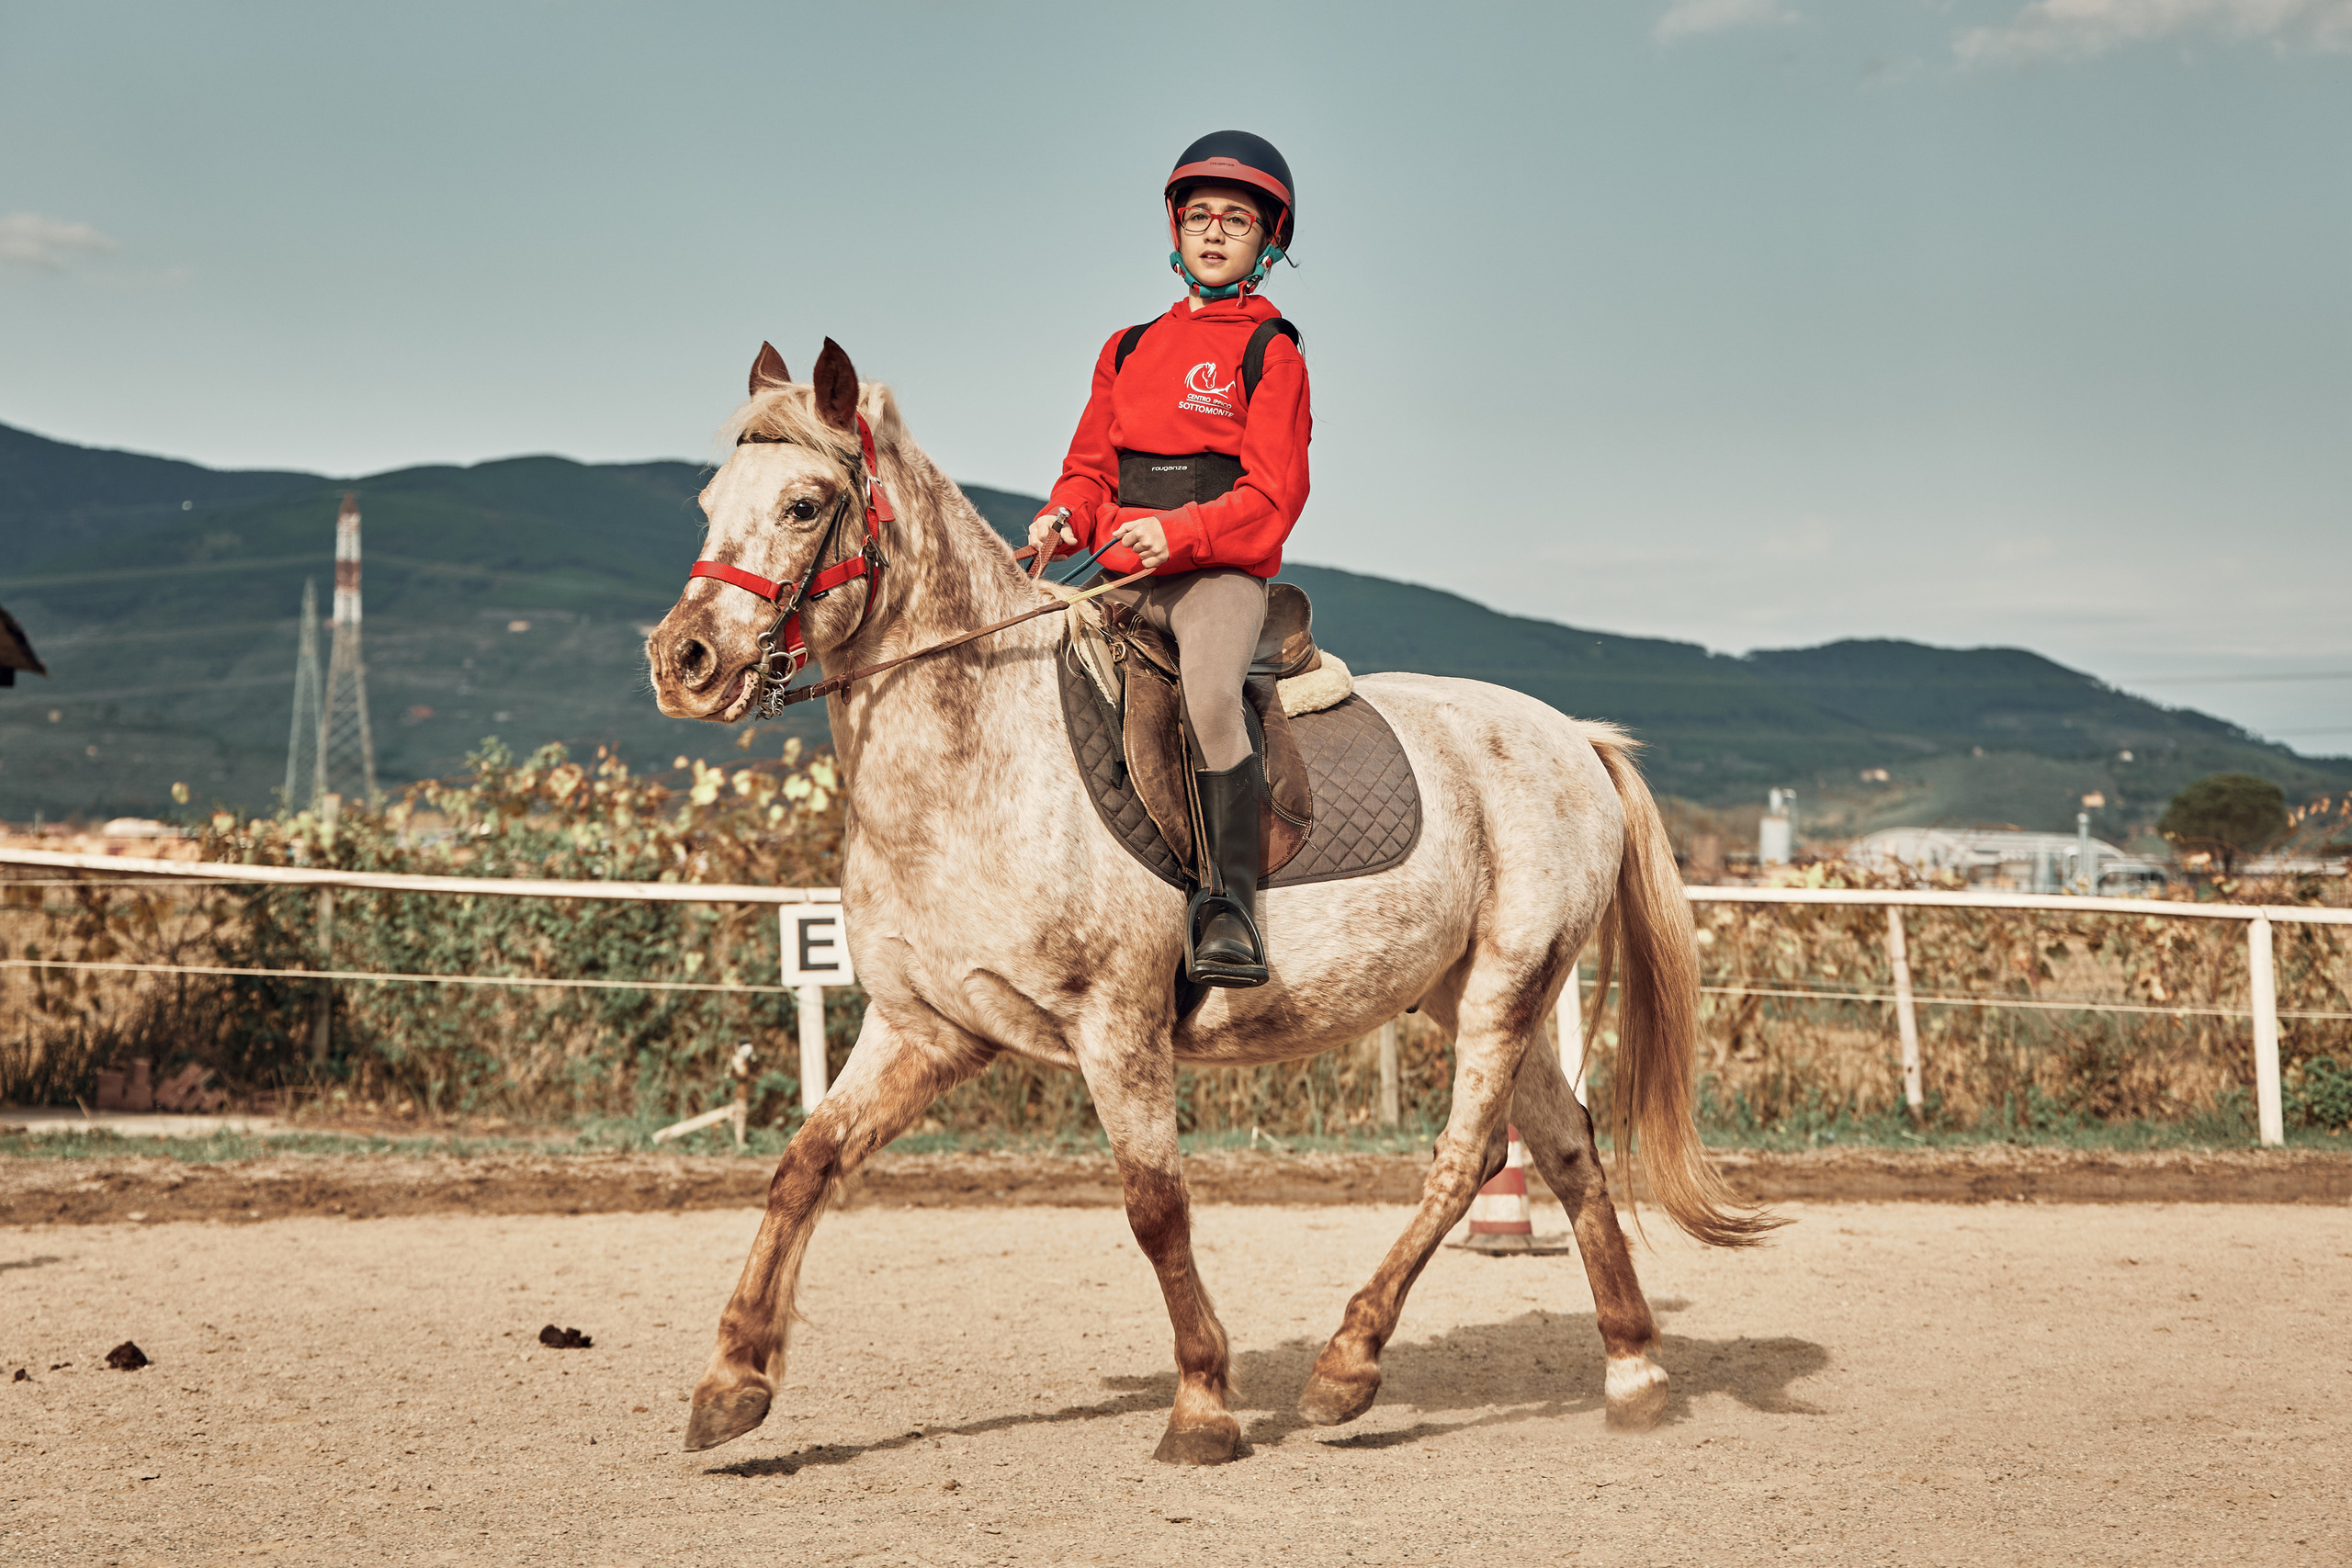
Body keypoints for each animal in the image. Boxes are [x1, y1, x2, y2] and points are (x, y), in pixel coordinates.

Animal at [645, 338, 1774, 1466]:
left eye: (803, 504)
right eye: (706, 503)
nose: (682, 661)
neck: (977, 762)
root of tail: (1573, 734)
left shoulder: (1116, 1026)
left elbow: (1156, 1209)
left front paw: (1202, 1404)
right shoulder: (925, 1027)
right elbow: (804, 1165)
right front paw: (731, 1382)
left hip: (1509, 980)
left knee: (1467, 1158)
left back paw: (1346, 1367)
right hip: (1475, 990)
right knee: (1565, 1149)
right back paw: (1633, 1373)